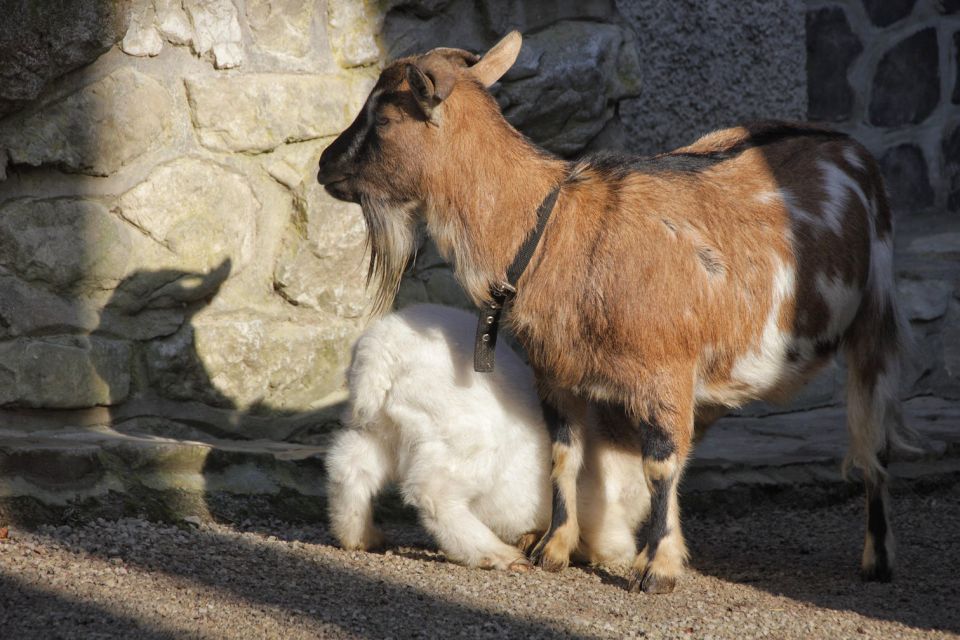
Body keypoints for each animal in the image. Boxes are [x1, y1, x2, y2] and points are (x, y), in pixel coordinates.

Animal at [318, 32, 920, 592]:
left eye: (384, 117)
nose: (325, 165)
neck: (555, 229)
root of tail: (852, 151)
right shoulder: (558, 376)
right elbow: (565, 455)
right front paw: (555, 550)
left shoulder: (664, 375)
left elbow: (660, 466)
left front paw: (655, 569)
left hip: (875, 321)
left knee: (873, 438)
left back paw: (878, 559)